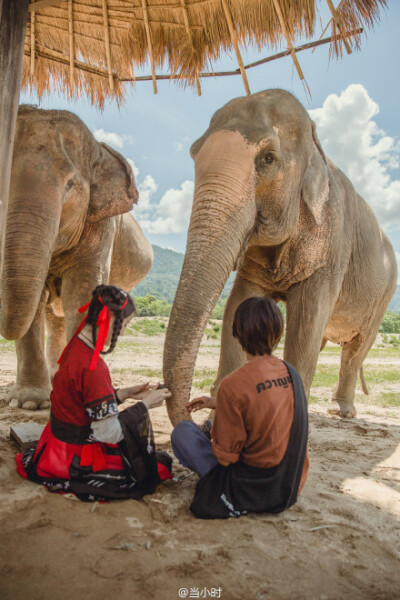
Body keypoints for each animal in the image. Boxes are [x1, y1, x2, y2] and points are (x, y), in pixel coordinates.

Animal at [0, 105, 153, 410]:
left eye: (71, 184)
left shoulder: (101, 224)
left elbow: (80, 291)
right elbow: (34, 302)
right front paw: (30, 403)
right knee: (51, 315)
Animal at [162, 90, 396, 426]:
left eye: (268, 159)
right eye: (194, 153)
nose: (195, 415)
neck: (315, 145)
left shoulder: (331, 248)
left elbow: (307, 319)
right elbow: (239, 306)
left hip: (383, 296)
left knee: (356, 348)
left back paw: (342, 412)